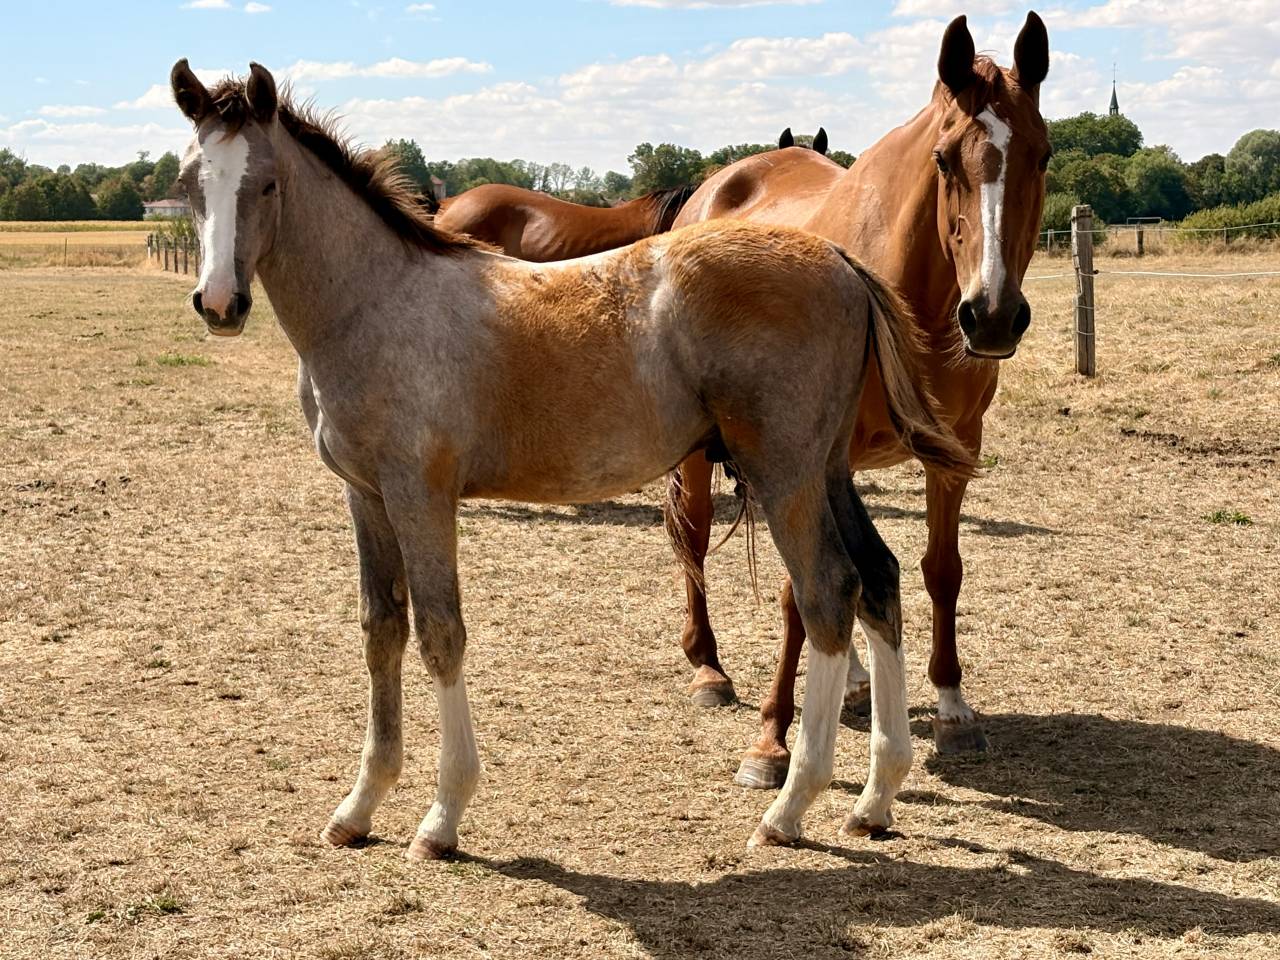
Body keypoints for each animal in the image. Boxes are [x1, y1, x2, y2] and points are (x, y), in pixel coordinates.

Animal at [668, 12, 1052, 786]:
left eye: (1044, 156)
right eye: (944, 160)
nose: (993, 315)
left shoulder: (954, 454)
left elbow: (941, 571)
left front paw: (954, 708)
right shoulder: (814, 459)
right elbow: (796, 594)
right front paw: (771, 740)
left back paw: (846, 679)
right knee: (692, 535)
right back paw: (708, 668)